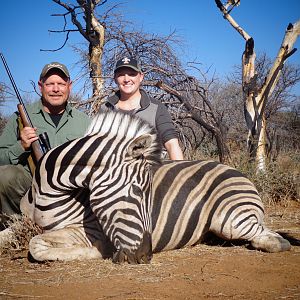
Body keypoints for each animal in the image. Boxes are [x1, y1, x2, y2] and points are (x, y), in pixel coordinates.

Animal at [17, 110, 290, 262]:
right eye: (137, 191)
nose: (145, 256)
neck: (46, 193)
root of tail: (238, 172)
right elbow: (27, 241)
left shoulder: (90, 230)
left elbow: (36, 245)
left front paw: (96, 252)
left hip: (229, 220)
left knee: (269, 236)